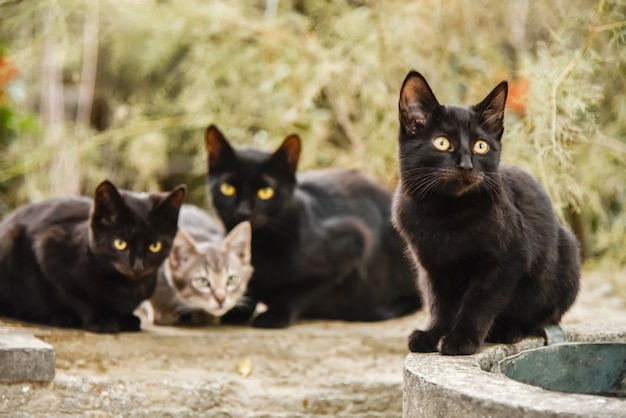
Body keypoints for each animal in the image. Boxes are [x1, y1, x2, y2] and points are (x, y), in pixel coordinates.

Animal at [0, 180, 185, 334]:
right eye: (120, 243)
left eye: (155, 246)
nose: (138, 266)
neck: (126, 287)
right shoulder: (48, 249)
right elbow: (77, 296)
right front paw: (101, 319)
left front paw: (125, 318)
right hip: (10, 240)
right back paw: (61, 317)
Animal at [205, 125, 420, 328]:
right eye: (227, 188)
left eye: (265, 192)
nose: (243, 211)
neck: (259, 246)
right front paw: (238, 310)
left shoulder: (354, 241)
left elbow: (300, 294)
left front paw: (275, 315)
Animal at [390, 70, 580, 354]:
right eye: (441, 142)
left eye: (481, 146)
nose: (466, 165)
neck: (446, 213)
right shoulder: (432, 266)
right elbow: (439, 304)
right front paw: (433, 333)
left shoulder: (507, 259)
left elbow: (479, 301)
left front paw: (461, 339)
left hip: (565, 257)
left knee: (541, 317)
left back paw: (508, 330)